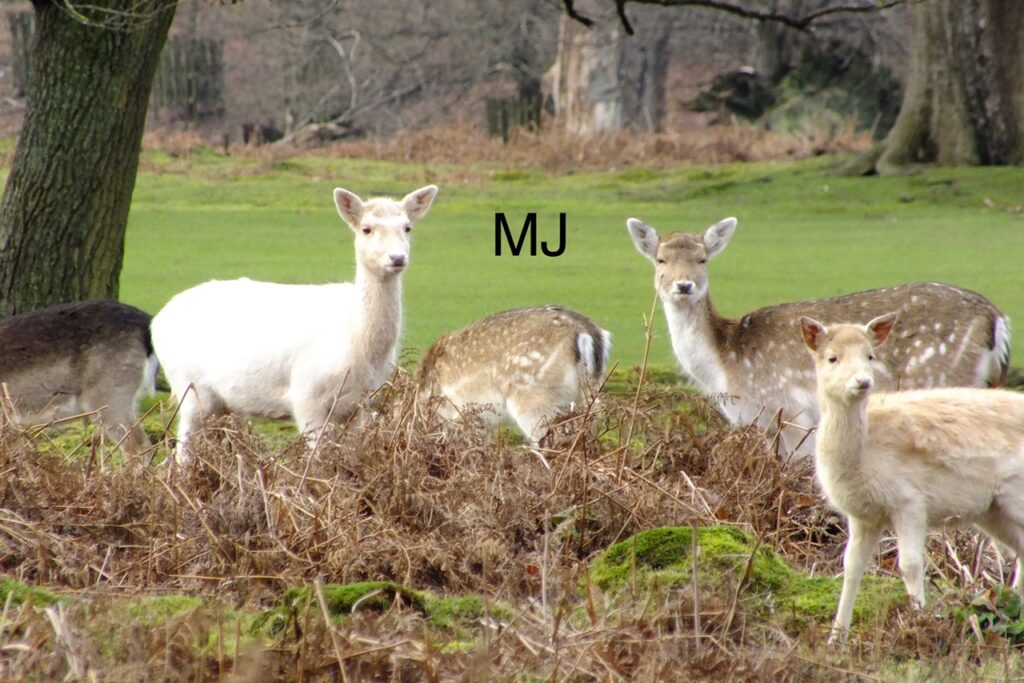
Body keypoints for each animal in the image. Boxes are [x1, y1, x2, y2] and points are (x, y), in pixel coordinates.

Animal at [150, 184, 438, 462]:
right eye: (366, 228)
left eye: (407, 227)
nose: (397, 258)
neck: (357, 344)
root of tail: (157, 321)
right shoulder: (306, 395)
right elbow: (317, 460)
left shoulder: (361, 404)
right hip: (188, 389)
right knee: (182, 452)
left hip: (222, 404)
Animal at [627, 216, 1010, 455]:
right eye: (660, 260)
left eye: (703, 259)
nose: (684, 285)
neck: (725, 366)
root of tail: (997, 320)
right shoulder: (765, 425)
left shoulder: (791, 410)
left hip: (942, 378)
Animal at [801, 313, 1024, 643]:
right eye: (832, 357)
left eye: (870, 355)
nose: (863, 381)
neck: (864, 453)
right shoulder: (863, 515)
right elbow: (851, 566)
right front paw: (836, 638)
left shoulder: (910, 501)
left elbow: (909, 564)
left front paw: (920, 622)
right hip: (993, 512)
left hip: (1014, 497)